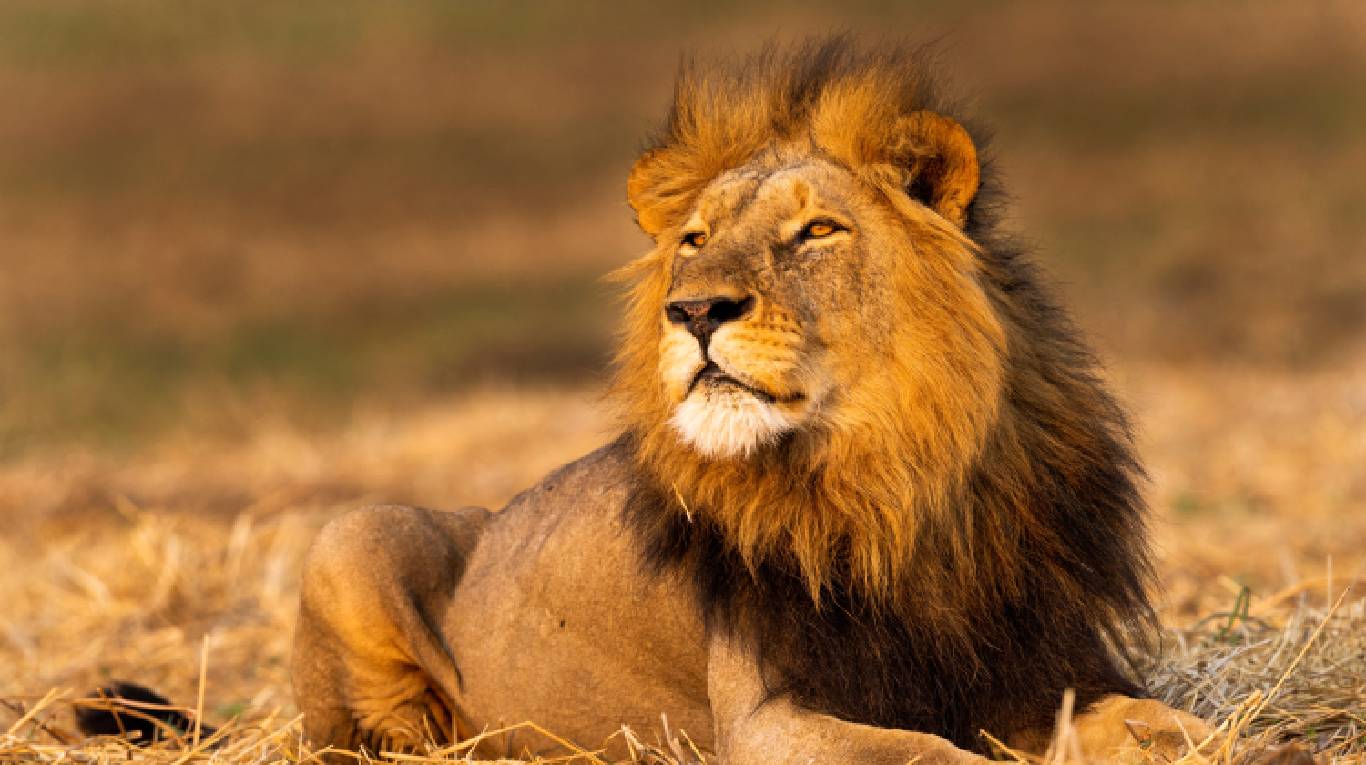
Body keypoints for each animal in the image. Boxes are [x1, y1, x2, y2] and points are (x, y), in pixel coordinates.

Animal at [290, 41, 1218, 765]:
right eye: (694, 240)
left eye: (817, 231)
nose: (695, 309)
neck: (899, 474)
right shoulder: (766, 717)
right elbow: (926, 751)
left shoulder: (1040, 671)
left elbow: (1154, 718)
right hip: (356, 532)